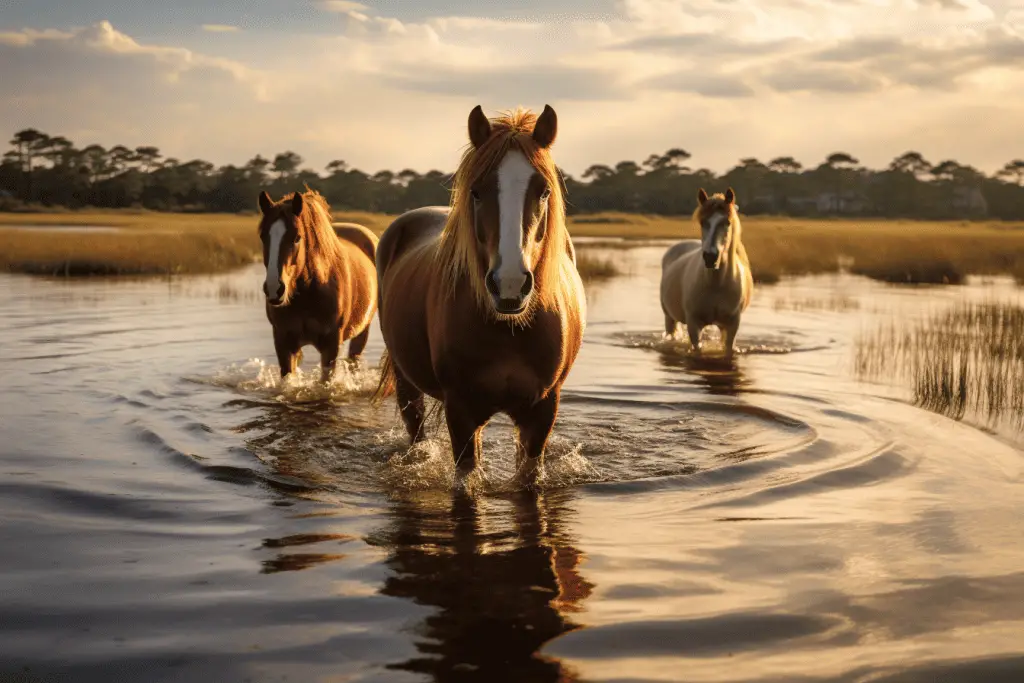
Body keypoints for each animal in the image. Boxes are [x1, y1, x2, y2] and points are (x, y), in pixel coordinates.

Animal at [258, 189, 378, 382]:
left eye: (297, 237)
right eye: (263, 236)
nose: (274, 288)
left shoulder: (331, 345)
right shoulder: (283, 343)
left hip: (362, 332)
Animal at [374, 104, 585, 483]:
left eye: (543, 191)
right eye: (476, 191)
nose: (510, 284)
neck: (509, 328)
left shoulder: (542, 412)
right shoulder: (460, 410)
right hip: (406, 381)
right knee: (415, 427)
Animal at [663, 184, 753, 360]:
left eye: (727, 222)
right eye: (703, 222)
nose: (710, 257)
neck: (716, 284)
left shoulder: (732, 325)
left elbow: (728, 349)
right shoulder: (693, 323)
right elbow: (697, 349)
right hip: (669, 318)